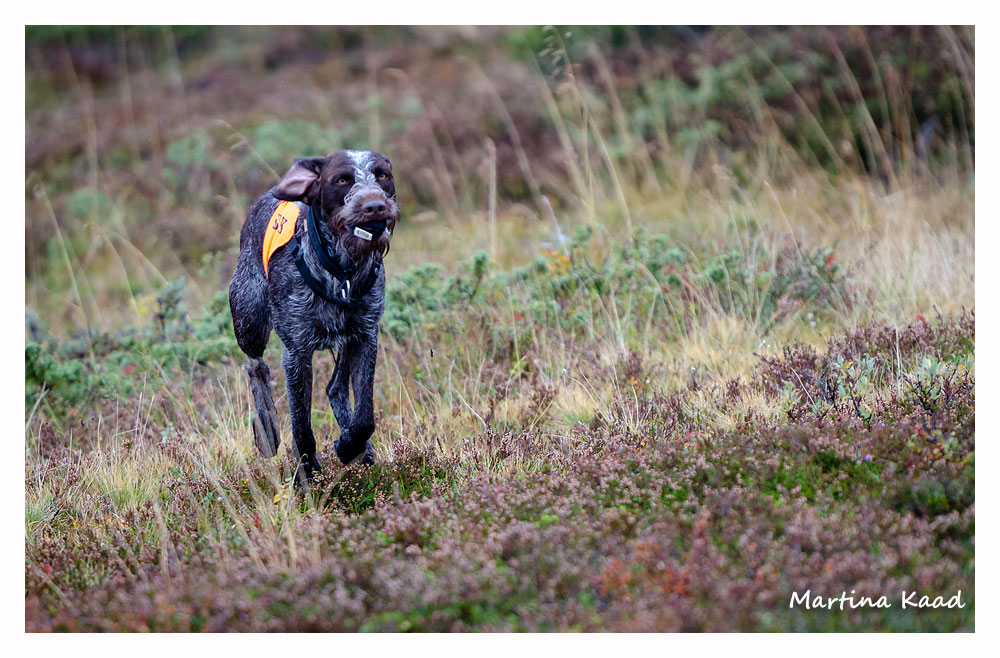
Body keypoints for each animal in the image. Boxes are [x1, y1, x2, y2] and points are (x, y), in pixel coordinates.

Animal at [229, 150, 399, 485]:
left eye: (382, 175)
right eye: (342, 180)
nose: (374, 206)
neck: (341, 272)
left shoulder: (366, 336)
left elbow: (365, 417)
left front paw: (350, 446)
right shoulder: (297, 353)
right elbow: (302, 428)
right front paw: (307, 475)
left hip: (347, 339)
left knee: (335, 387)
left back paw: (361, 448)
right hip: (249, 319)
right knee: (256, 366)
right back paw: (267, 431)